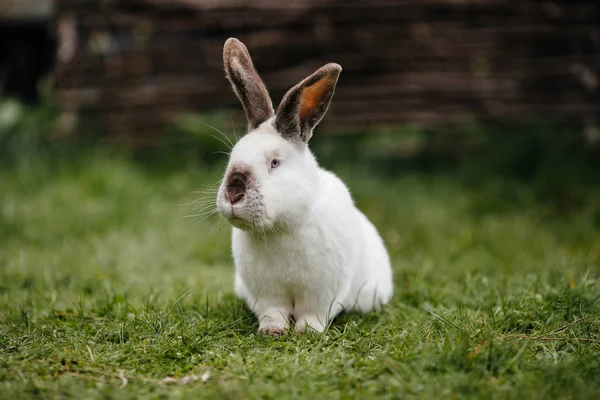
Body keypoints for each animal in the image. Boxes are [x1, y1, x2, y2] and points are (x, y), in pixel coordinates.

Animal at [216, 38, 394, 334]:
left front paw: (306, 332)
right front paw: (272, 331)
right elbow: (272, 312)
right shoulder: (266, 293)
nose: (233, 194)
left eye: (274, 163)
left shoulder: (322, 292)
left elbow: (314, 313)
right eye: (232, 157)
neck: (280, 229)